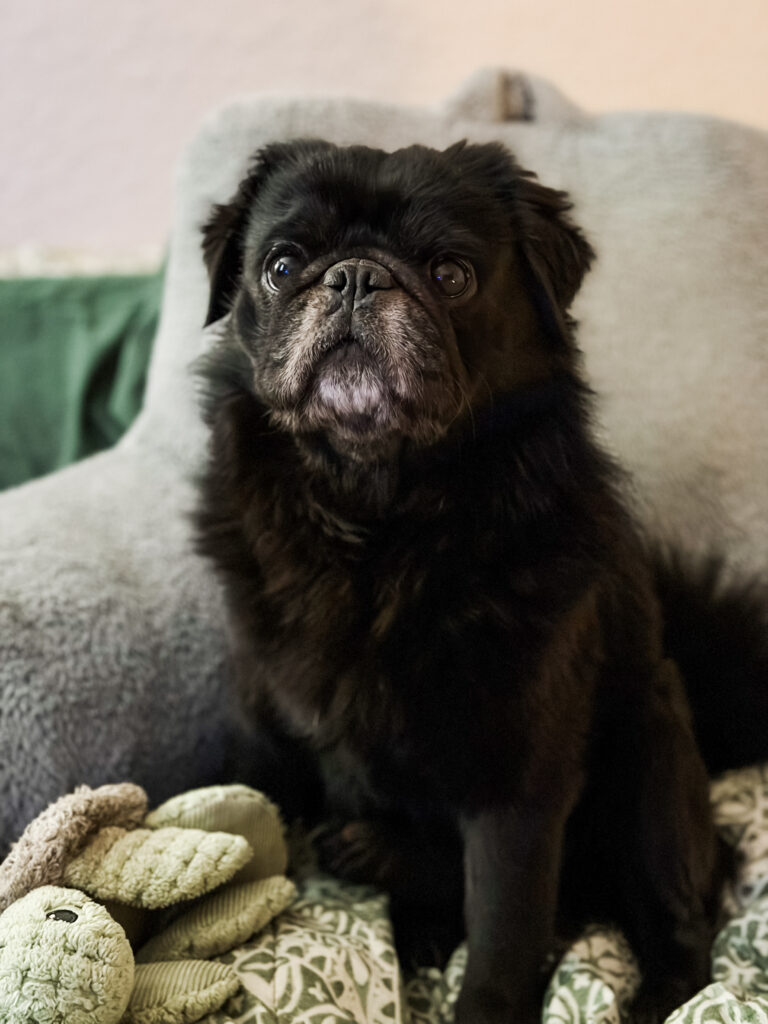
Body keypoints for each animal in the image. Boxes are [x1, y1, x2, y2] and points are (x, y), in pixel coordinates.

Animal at [195, 138, 762, 1023]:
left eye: (451, 274)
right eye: (282, 266)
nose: (355, 276)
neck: (379, 517)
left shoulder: (518, 798)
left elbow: (500, 942)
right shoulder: (283, 726)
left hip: (655, 758)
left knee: (683, 929)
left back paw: (658, 997)